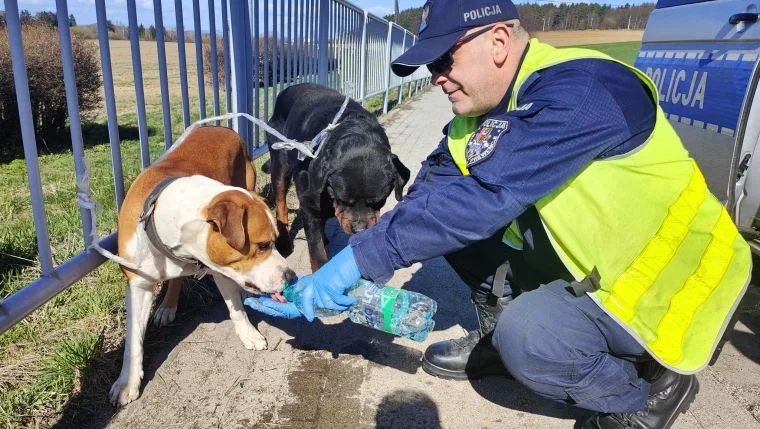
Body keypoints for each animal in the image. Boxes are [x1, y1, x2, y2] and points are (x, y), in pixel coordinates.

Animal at [110, 126, 294, 404]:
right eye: (263, 245)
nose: (292, 276)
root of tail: (220, 127)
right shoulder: (138, 286)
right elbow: (133, 341)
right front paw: (127, 381)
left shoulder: (221, 267)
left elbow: (236, 310)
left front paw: (248, 334)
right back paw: (167, 306)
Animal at [268, 83, 410, 270]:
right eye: (343, 200)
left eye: (379, 202)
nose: (359, 230)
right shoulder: (309, 204)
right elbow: (316, 250)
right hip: (280, 160)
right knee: (280, 201)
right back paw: (284, 242)